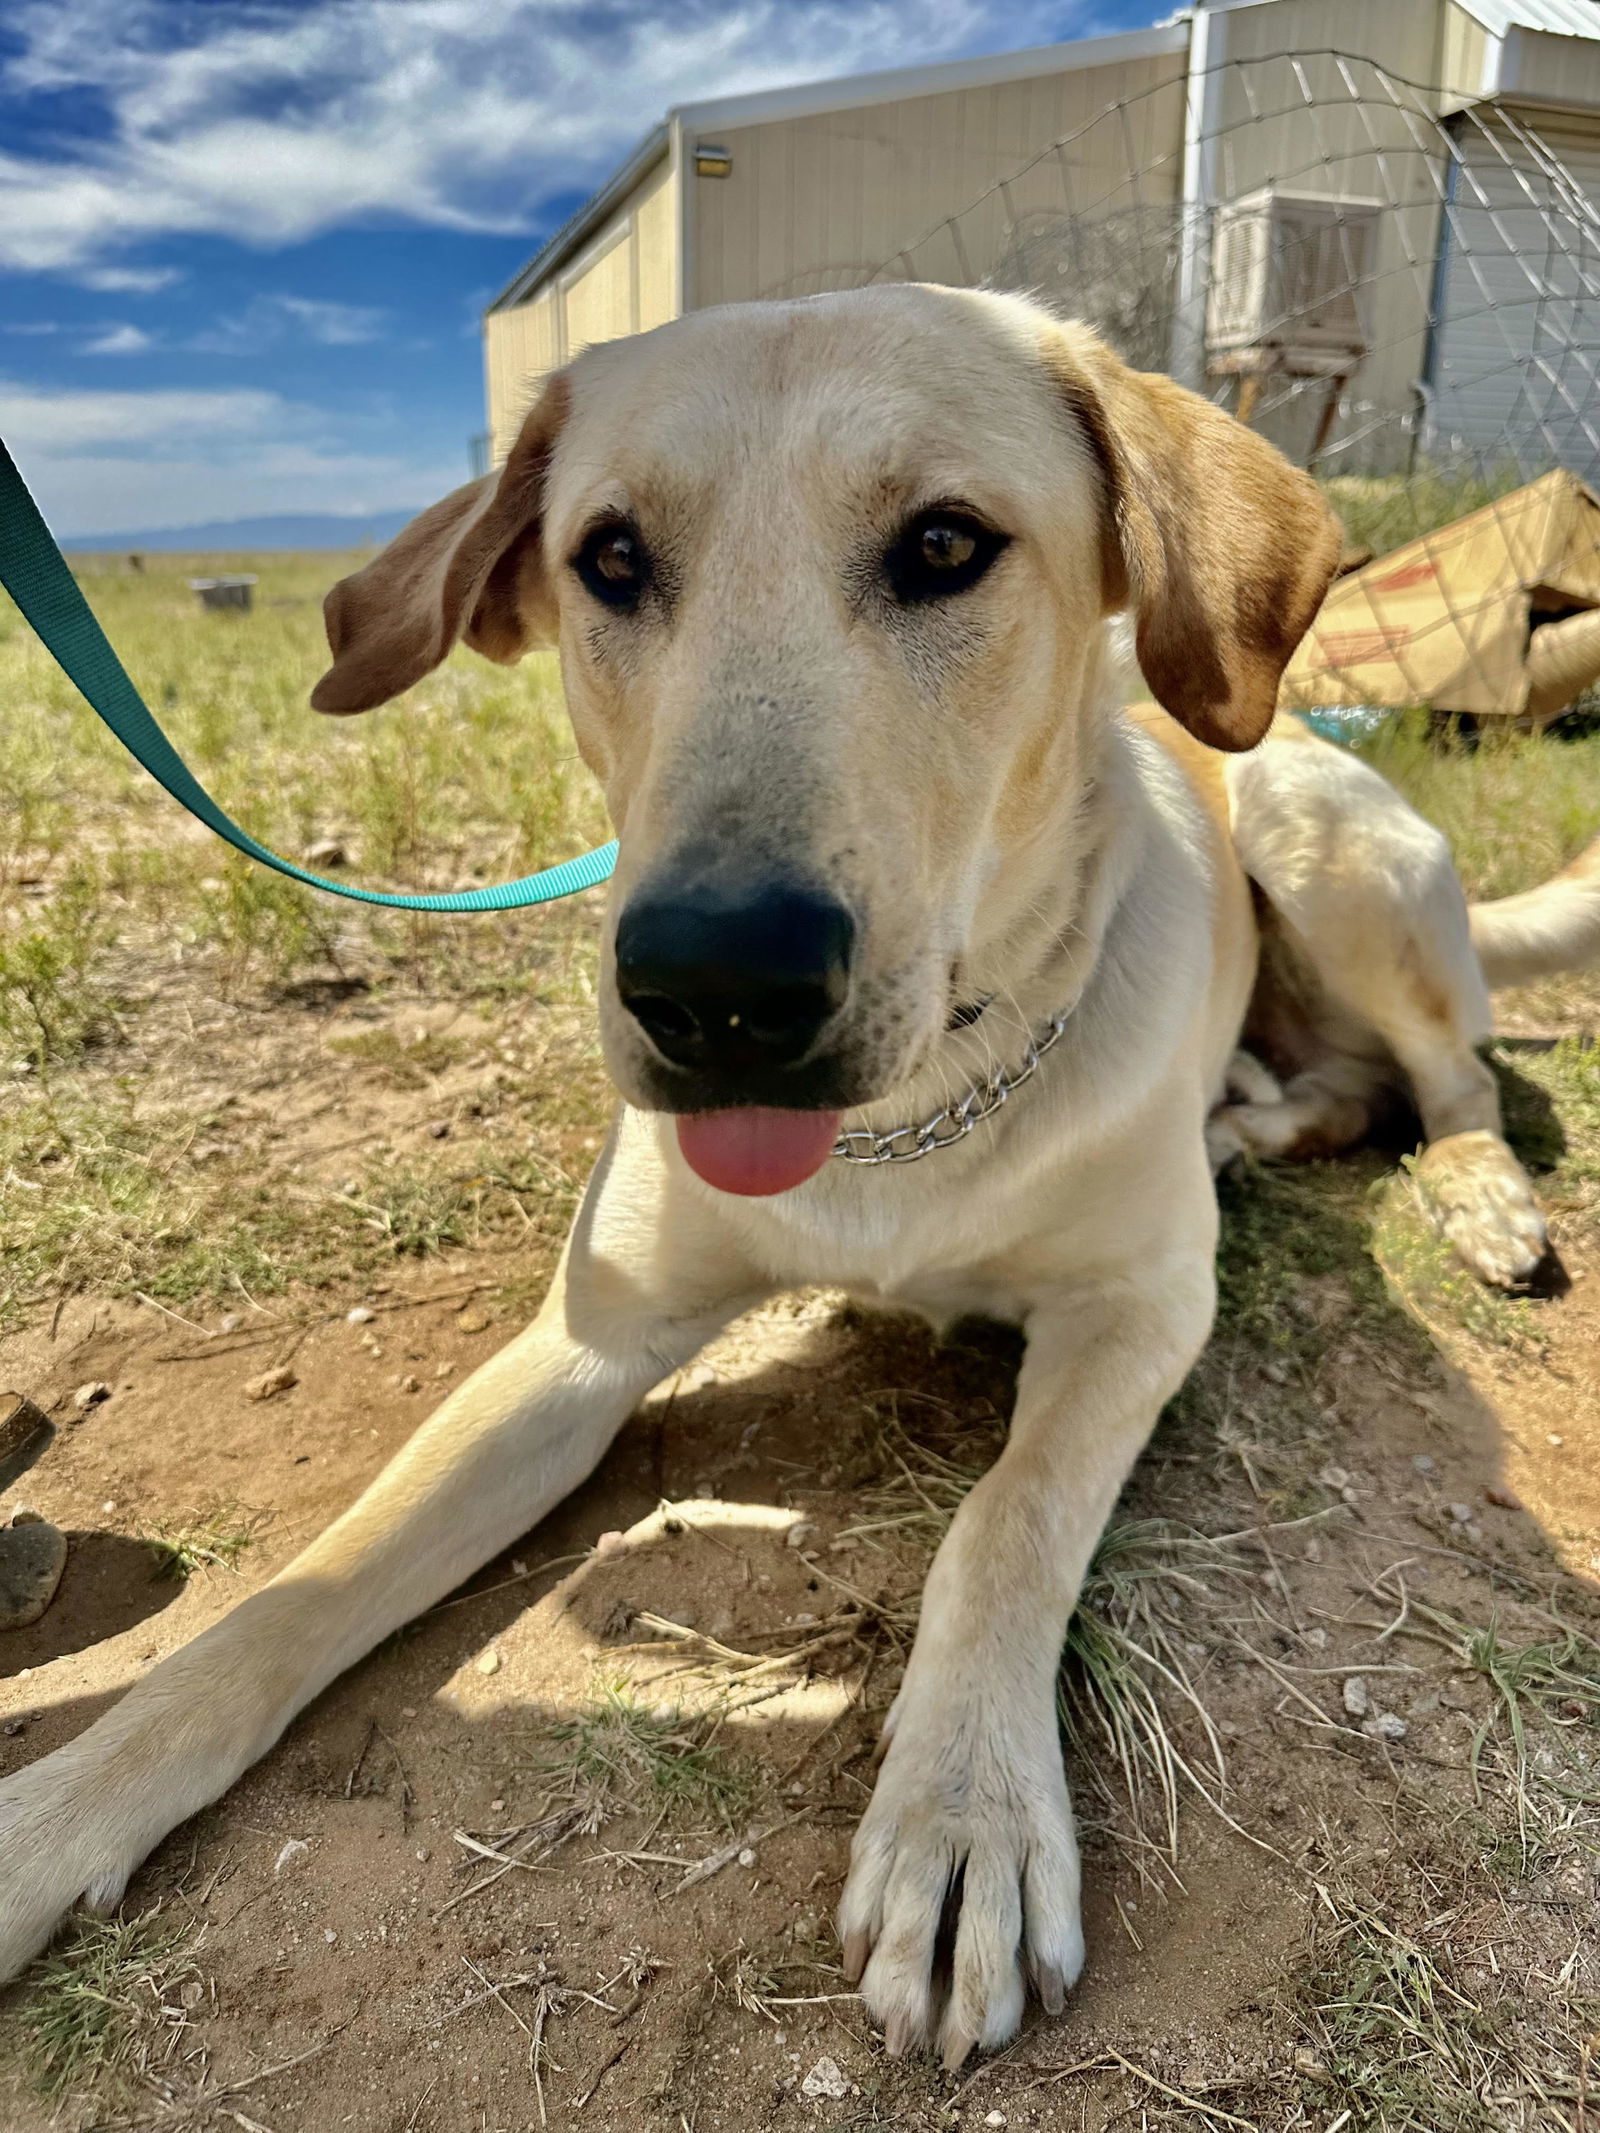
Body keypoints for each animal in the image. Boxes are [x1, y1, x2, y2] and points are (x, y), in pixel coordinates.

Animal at [3, 287, 1600, 2064]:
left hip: (1319, 831)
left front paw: (967, 1812)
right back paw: (1252, 1119)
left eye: (948, 543)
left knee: (1450, 1073)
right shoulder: (582, 1344)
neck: (913, 1120)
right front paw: (59, 1809)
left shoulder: (1142, 1308)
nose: (714, 988)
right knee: (1338, 1083)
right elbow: (294, 1595)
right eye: (610, 558)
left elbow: (1003, 1516)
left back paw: (1477, 1192)